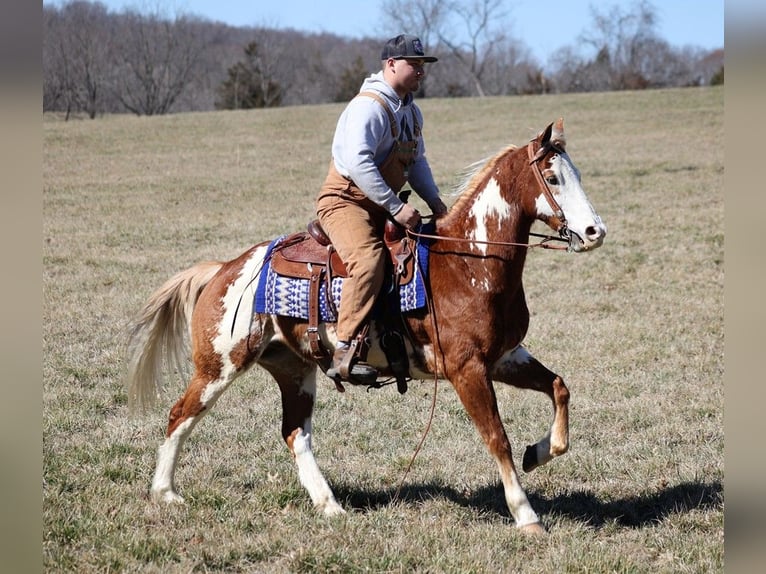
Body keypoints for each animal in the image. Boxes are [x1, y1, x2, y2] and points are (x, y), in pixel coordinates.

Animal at [124, 119, 608, 536]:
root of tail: (225, 268)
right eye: (554, 177)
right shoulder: (467, 369)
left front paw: (538, 453)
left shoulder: (505, 357)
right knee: (180, 415)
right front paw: (526, 515)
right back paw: (165, 492)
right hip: (220, 365)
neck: (469, 262)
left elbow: (559, 389)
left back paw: (330, 506)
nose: (594, 231)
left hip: (295, 370)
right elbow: (497, 438)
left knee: (295, 434)